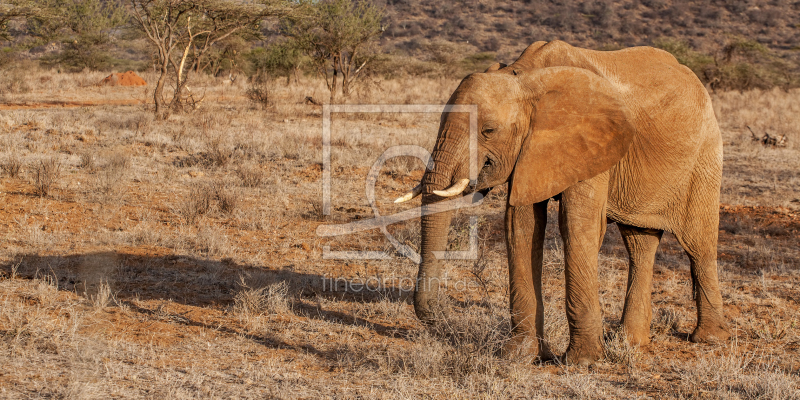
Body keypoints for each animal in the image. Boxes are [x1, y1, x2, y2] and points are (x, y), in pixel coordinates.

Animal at [394, 41, 732, 366]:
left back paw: (709, 339)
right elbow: (521, 225)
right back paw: (630, 343)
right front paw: (519, 356)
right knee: (640, 243)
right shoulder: (529, 151)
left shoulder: (592, 141)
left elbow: (576, 225)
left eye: (488, 130)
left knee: (698, 243)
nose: (438, 315)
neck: (524, 77)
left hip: (705, 157)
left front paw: (583, 362)